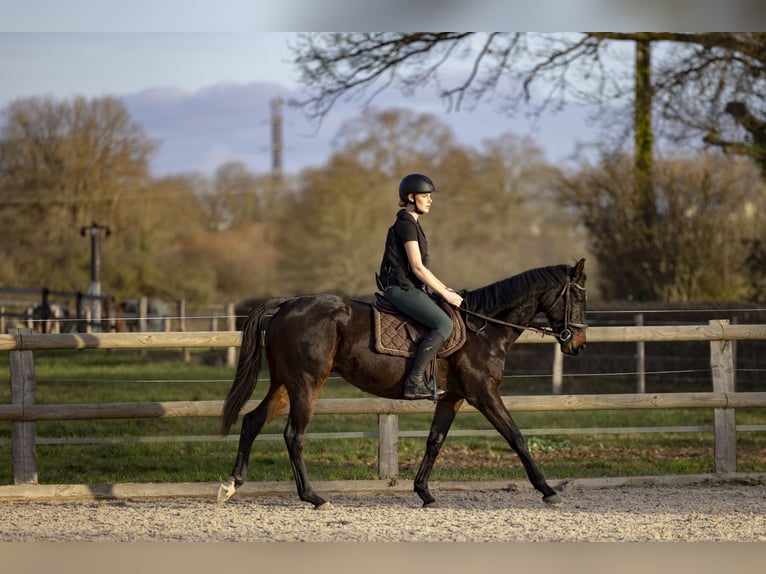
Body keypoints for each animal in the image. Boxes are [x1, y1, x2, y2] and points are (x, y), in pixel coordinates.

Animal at [218, 258, 587, 508]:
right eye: (580, 298)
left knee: (252, 421)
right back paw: (313, 497)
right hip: (306, 386)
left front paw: (424, 492)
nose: (579, 344)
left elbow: (434, 442)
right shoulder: (483, 394)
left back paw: (233, 484)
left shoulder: (452, 398)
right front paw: (547, 490)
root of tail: (287, 305)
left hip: (285, 385)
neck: (484, 329)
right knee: (294, 436)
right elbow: (516, 437)